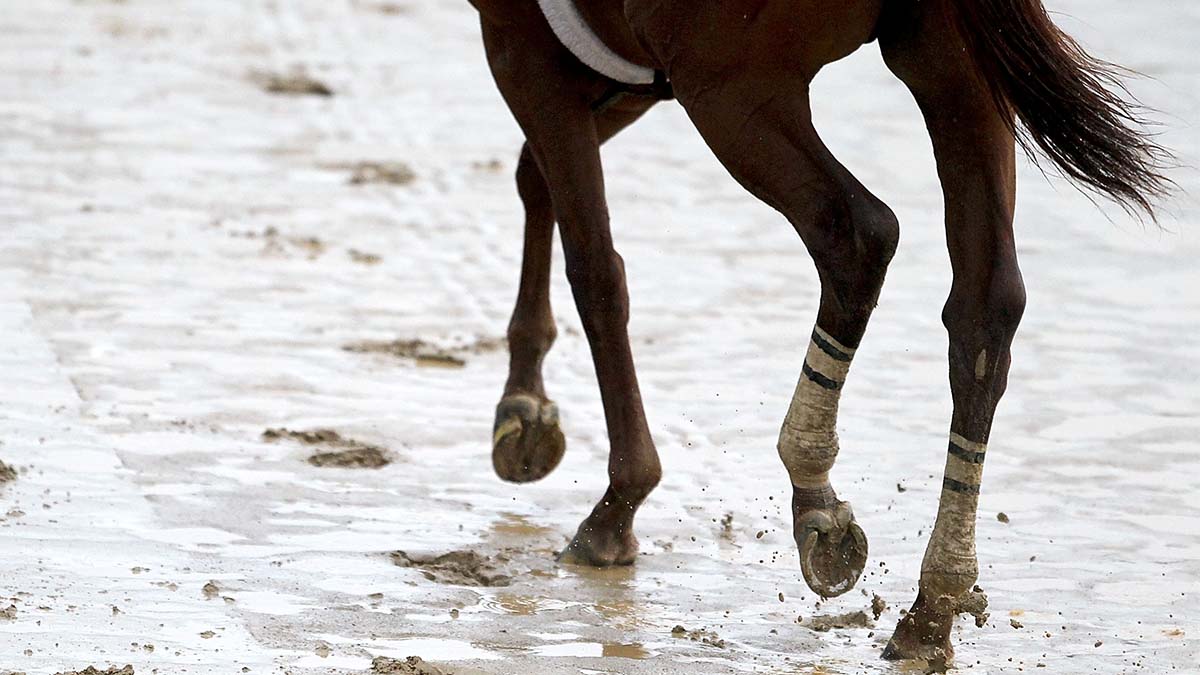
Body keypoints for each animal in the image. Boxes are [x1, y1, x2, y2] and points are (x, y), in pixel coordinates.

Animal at [463, 0, 1166, 662]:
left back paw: (813, 489)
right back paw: (932, 607)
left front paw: (617, 503)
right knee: (986, 305)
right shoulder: (620, 72)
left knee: (856, 235)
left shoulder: (525, 50)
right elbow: (534, 178)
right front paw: (526, 402)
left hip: (732, 86)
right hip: (952, 67)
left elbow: (594, 267)